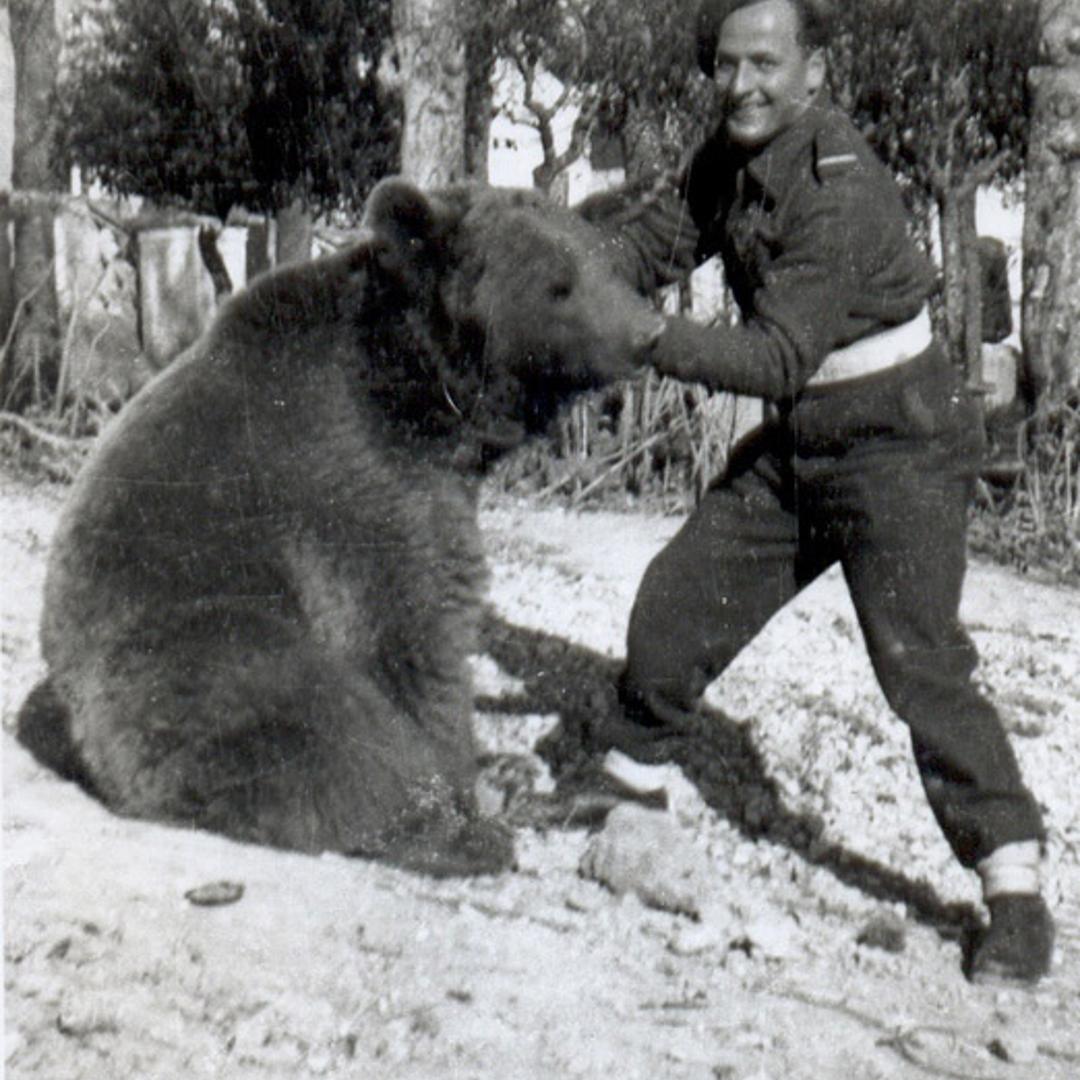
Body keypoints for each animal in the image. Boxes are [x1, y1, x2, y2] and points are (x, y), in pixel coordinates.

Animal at [16, 177, 665, 877]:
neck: (420, 397)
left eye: (606, 263)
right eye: (559, 283)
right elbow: (412, 634)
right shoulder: (355, 484)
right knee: (318, 718)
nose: (648, 332)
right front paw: (458, 797)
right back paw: (461, 832)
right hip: (184, 652)